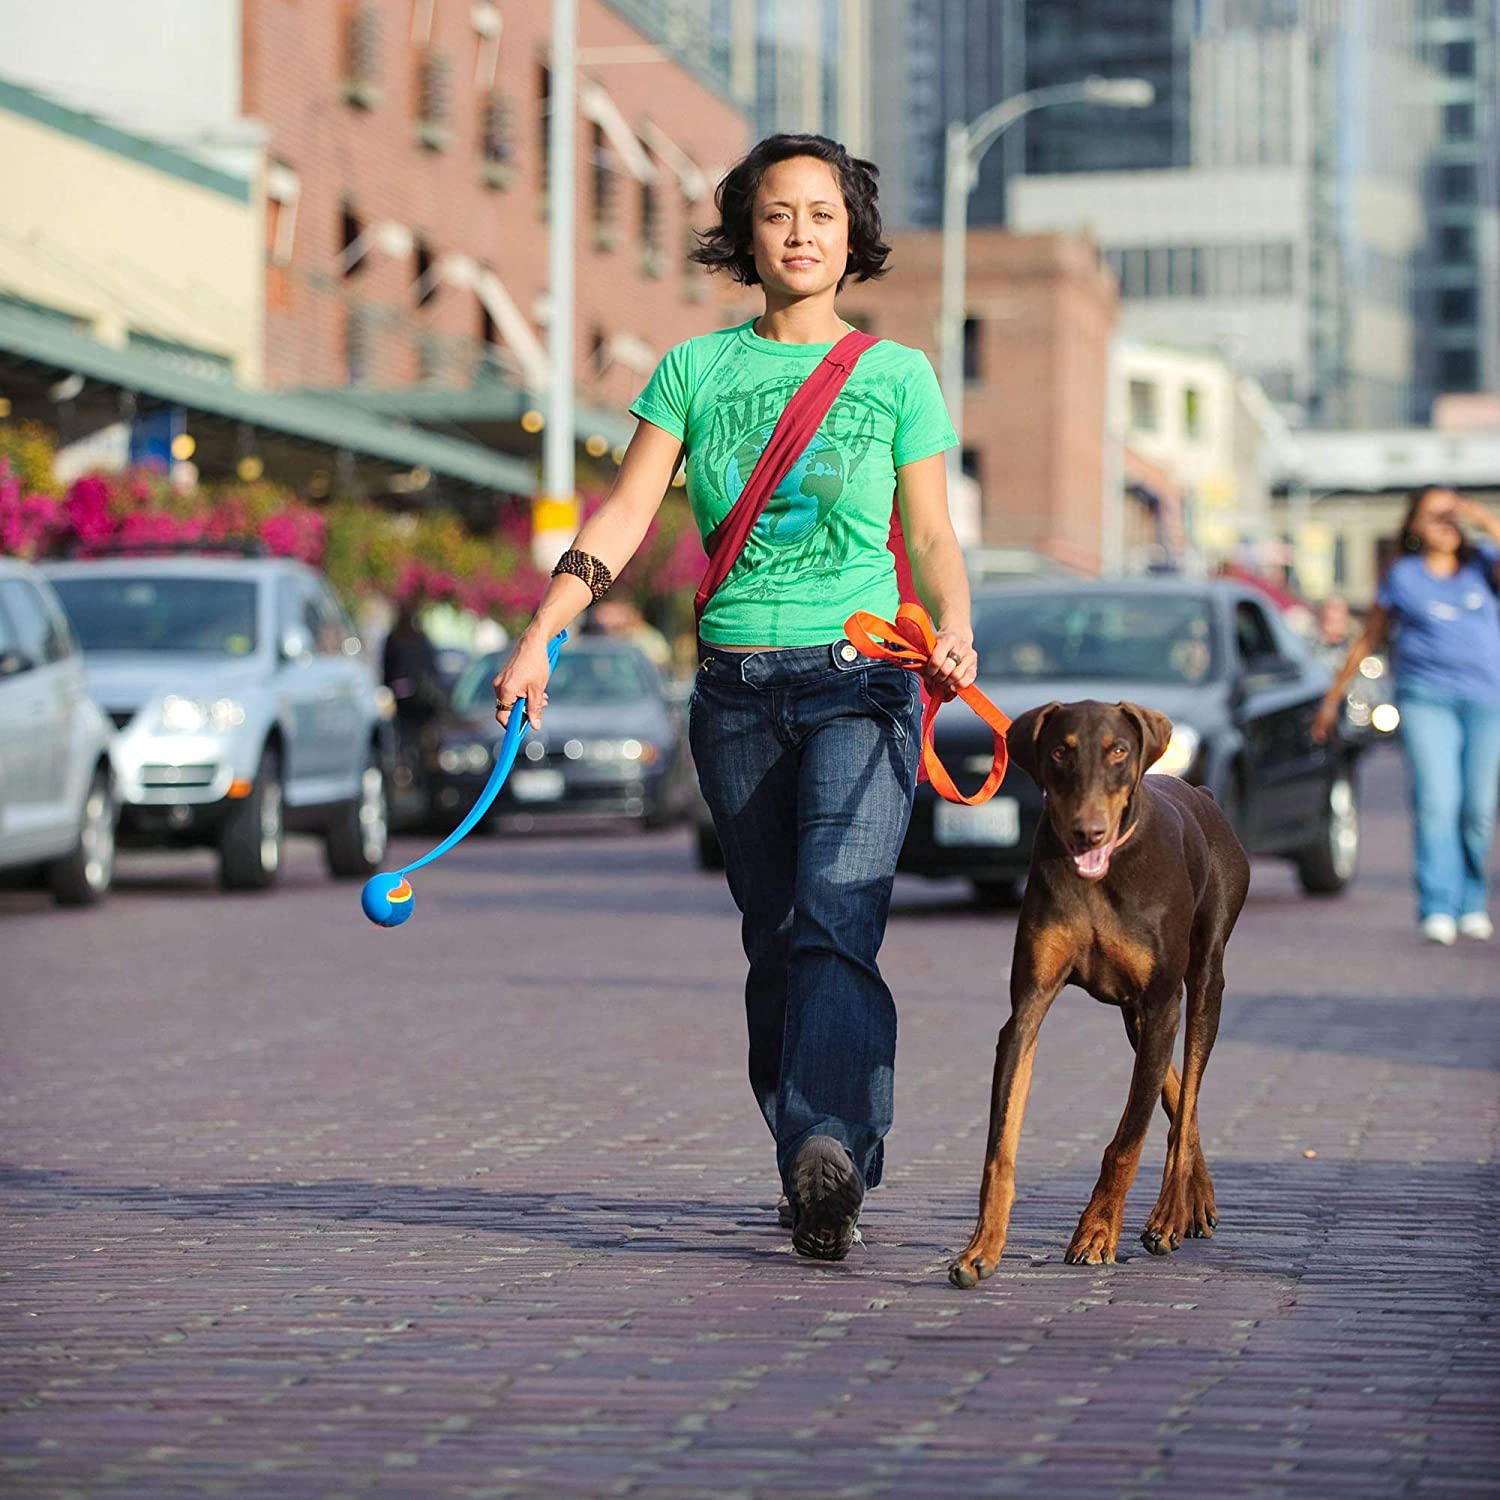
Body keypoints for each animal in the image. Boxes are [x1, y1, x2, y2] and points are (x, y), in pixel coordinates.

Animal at [948, 696, 1254, 1284]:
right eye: (1060, 752)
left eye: (1118, 751)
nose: (1086, 833)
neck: (1099, 877)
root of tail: (1203, 796)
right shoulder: (1028, 1009)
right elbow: (1001, 1145)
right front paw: (981, 1249)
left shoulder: (1162, 1002)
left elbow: (1128, 1139)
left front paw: (1095, 1232)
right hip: (1137, 1015)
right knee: (1177, 1095)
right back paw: (1197, 1199)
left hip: (1204, 979)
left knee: (1187, 1096)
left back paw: (1169, 1214)